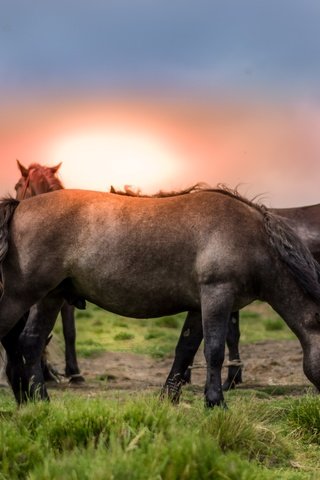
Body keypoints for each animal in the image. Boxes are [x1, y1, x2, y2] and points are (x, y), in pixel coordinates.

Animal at [0, 186, 320, 406]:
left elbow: (186, 350)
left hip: (50, 297)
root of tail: (20, 205)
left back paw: (39, 401)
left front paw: (170, 397)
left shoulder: (199, 306)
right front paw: (216, 403)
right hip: (21, 295)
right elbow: (214, 350)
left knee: (30, 341)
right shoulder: (217, 295)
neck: (250, 238)